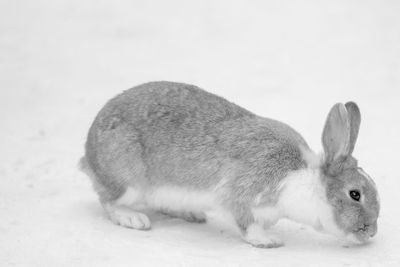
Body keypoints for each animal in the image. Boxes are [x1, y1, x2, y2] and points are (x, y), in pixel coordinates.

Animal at [79, 81, 380, 249]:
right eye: (355, 194)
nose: (371, 232)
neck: (304, 179)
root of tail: (88, 156)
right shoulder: (243, 193)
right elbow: (246, 223)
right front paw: (267, 241)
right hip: (127, 180)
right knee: (109, 202)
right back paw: (132, 218)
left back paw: (192, 214)